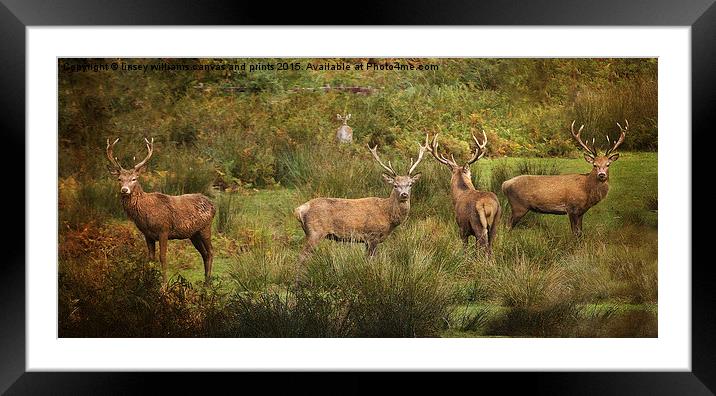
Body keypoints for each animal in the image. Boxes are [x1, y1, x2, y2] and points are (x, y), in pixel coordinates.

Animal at [104, 138, 215, 284]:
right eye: (119, 179)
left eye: (134, 179)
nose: (124, 190)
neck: (145, 214)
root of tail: (213, 206)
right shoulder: (148, 235)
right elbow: (151, 259)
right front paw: (148, 282)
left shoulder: (164, 229)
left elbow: (163, 257)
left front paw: (164, 285)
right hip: (193, 234)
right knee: (204, 253)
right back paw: (205, 281)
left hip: (205, 228)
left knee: (211, 251)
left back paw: (208, 282)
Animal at [296, 142, 426, 262]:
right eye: (395, 185)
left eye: (410, 184)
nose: (404, 194)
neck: (388, 216)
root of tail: (299, 210)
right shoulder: (372, 236)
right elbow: (371, 260)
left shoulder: (367, 241)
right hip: (315, 232)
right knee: (301, 256)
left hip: (309, 233)